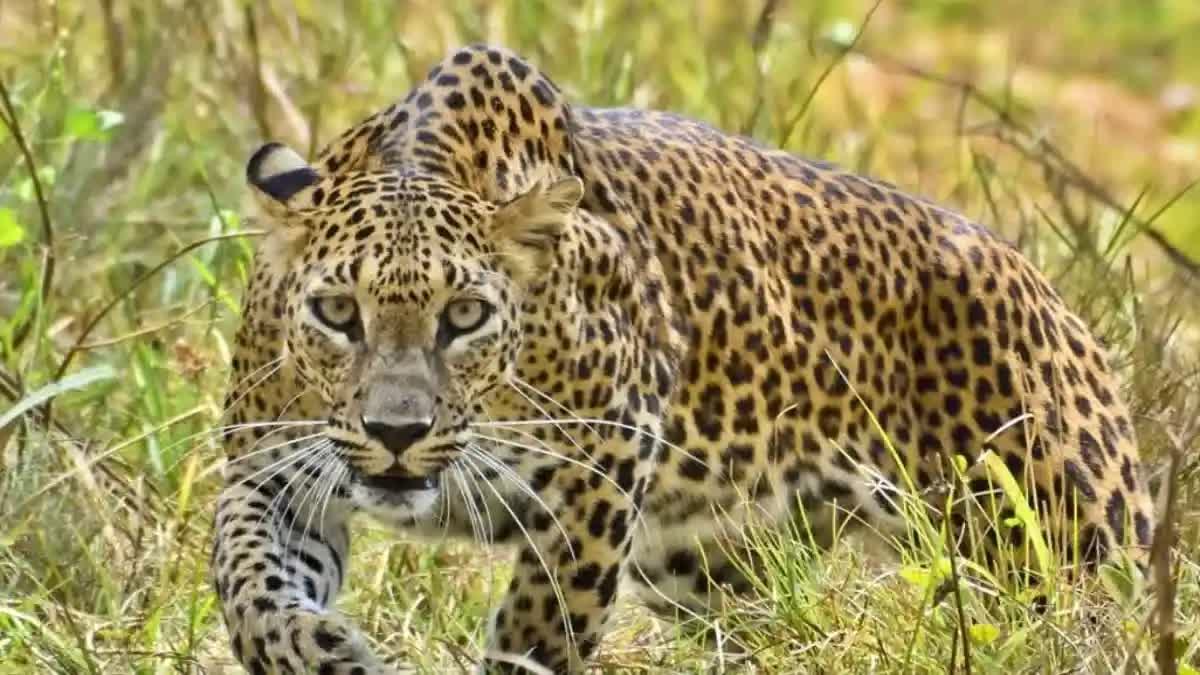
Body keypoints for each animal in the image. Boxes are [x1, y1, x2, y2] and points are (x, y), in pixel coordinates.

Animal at [211, 43, 1156, 672]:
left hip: (1060, 551)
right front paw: (318, 649)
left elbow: (540, 629)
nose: (397, 433)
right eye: (338, 312)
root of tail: (1052, 295)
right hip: (711, 565)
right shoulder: (273, 470)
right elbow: (247, 578)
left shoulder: (599, 473)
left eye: (465, 315)